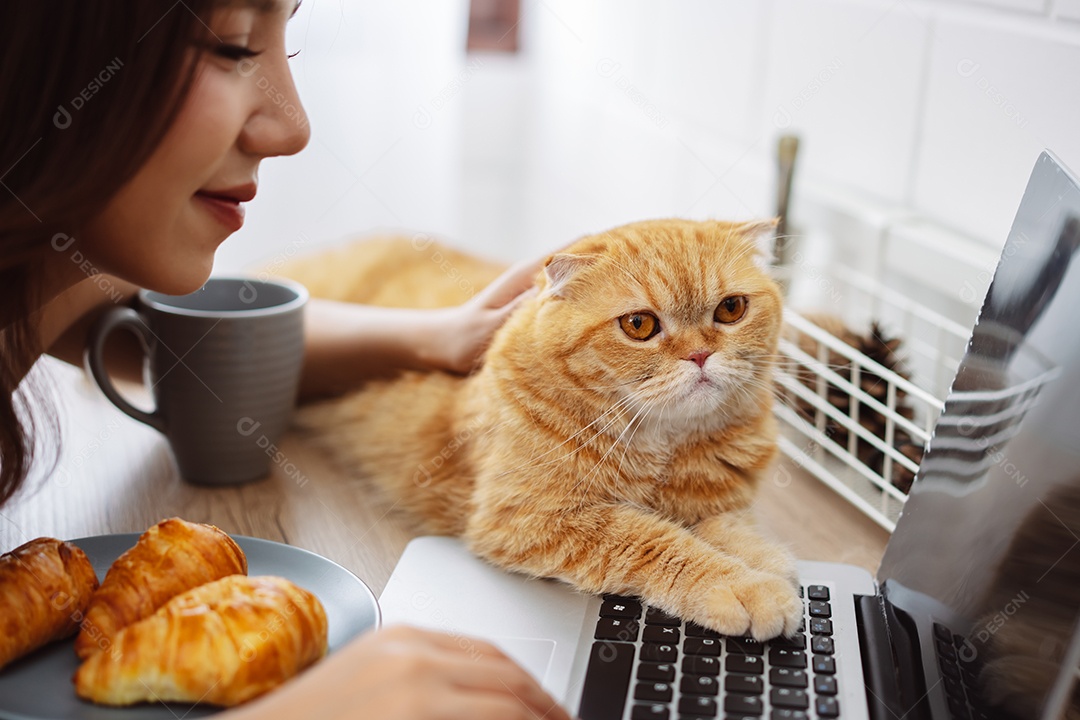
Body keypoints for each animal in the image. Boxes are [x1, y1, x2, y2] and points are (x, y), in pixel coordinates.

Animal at [285, 218, 803, 634]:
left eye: (731, 309)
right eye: (639, 324)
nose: (700, 355)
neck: (664, 445)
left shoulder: (715, 501)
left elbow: (728, 527)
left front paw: (767, 559)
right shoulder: (533, 518)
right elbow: (658, 541)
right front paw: (745, 586)